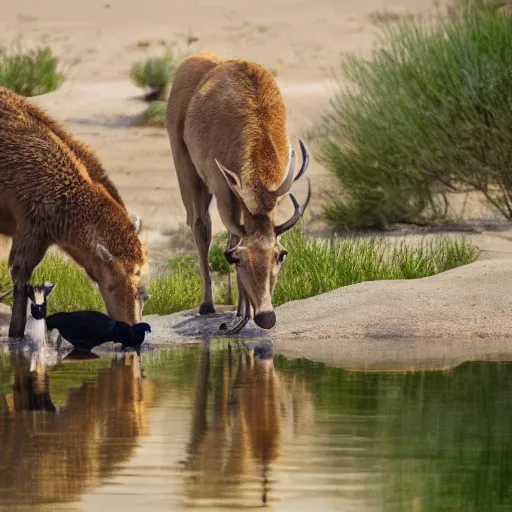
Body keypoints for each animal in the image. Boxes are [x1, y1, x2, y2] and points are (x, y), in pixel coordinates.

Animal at [0, 88, 148, 340]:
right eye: (112, 282)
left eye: (143, 288)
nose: (131, 327)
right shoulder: (29, 232)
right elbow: (20, 281)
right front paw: (15, 334)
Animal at [167, 51, 312, 332]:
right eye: (236, 260)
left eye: (281, 255)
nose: (266, 316)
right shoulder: (221, 182)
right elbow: (232, 237)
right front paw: (240, 316)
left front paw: (240, 312)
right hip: (184, 163)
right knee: (200, 223)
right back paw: (207, 304)